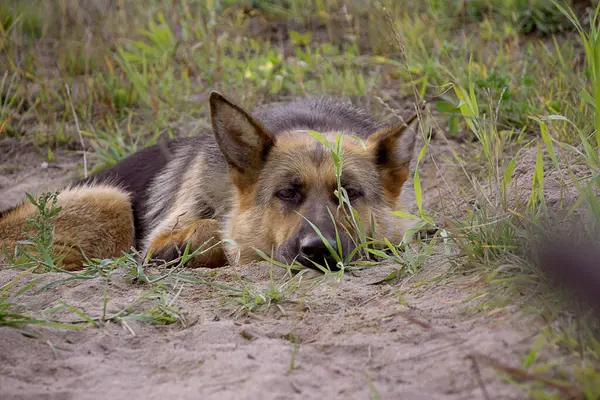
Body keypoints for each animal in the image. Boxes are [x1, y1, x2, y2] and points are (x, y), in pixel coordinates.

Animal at [0, 92, 422, 270]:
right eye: (287, 193)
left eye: (349, 194)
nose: (319, 250)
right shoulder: (164, 232)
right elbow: (215, 230)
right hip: (111, 200)